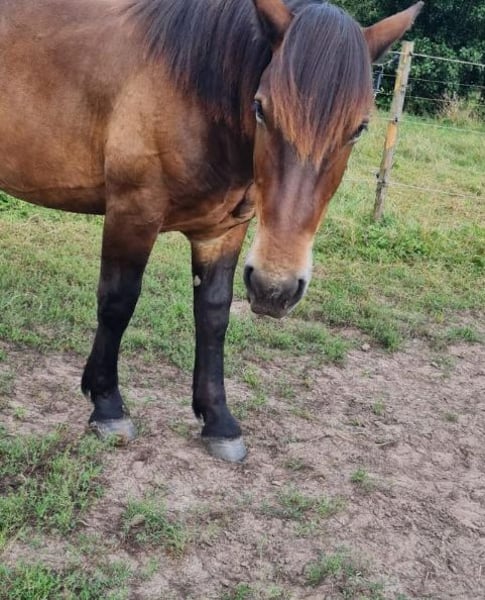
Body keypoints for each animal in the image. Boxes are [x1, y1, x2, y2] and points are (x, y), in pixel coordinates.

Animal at [0, 0, 423, 461]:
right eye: (261, 108)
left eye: (359, 128)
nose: (276, 288)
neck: (190, 89)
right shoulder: (133, 211)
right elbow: (118, 302)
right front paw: (107, 405)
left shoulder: (224, 231)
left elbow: (214, 314)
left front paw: (218, 420)